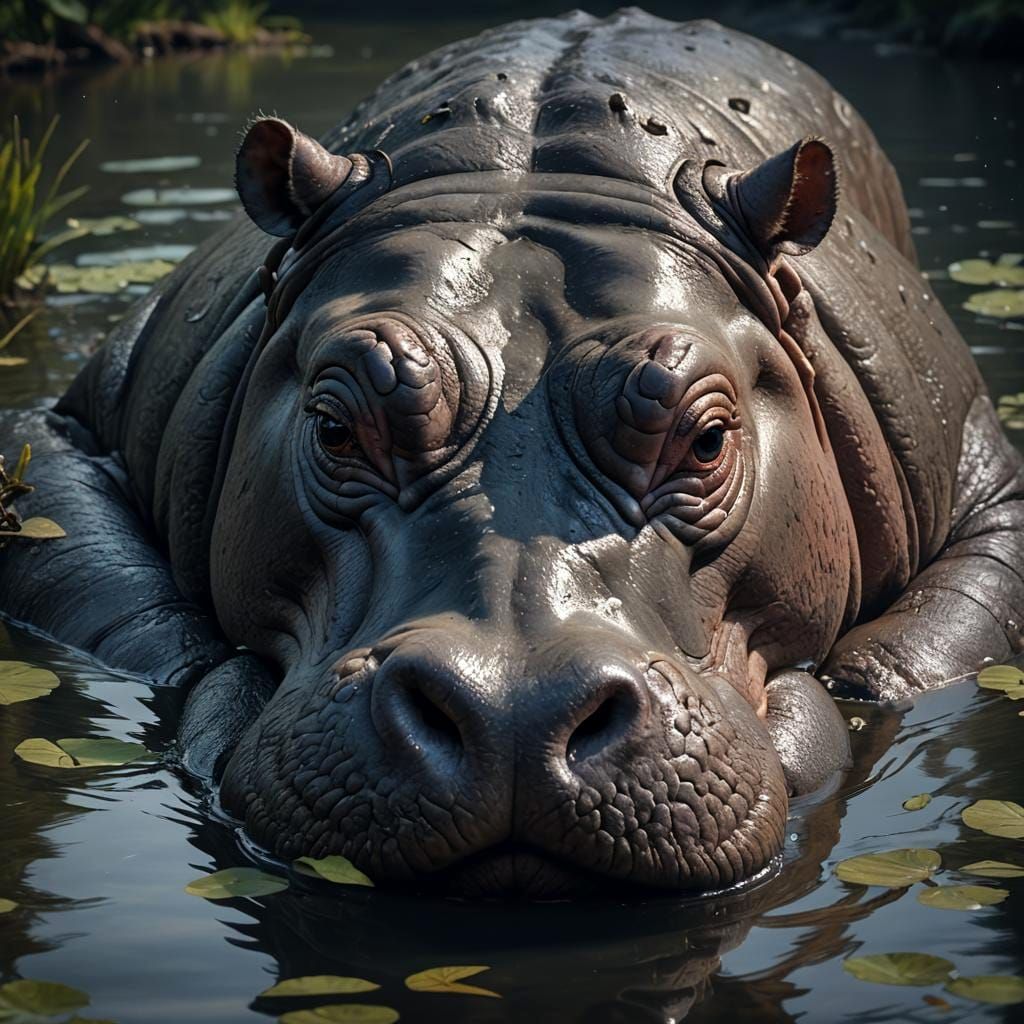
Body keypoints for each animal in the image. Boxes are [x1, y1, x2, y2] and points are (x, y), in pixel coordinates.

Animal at [2, 9, 1022, 897]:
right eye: (335, 427)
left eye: (706, 439)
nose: (513, 712)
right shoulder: (54, 442)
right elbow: (121, 597)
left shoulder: (993, 485)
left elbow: (928, 635)